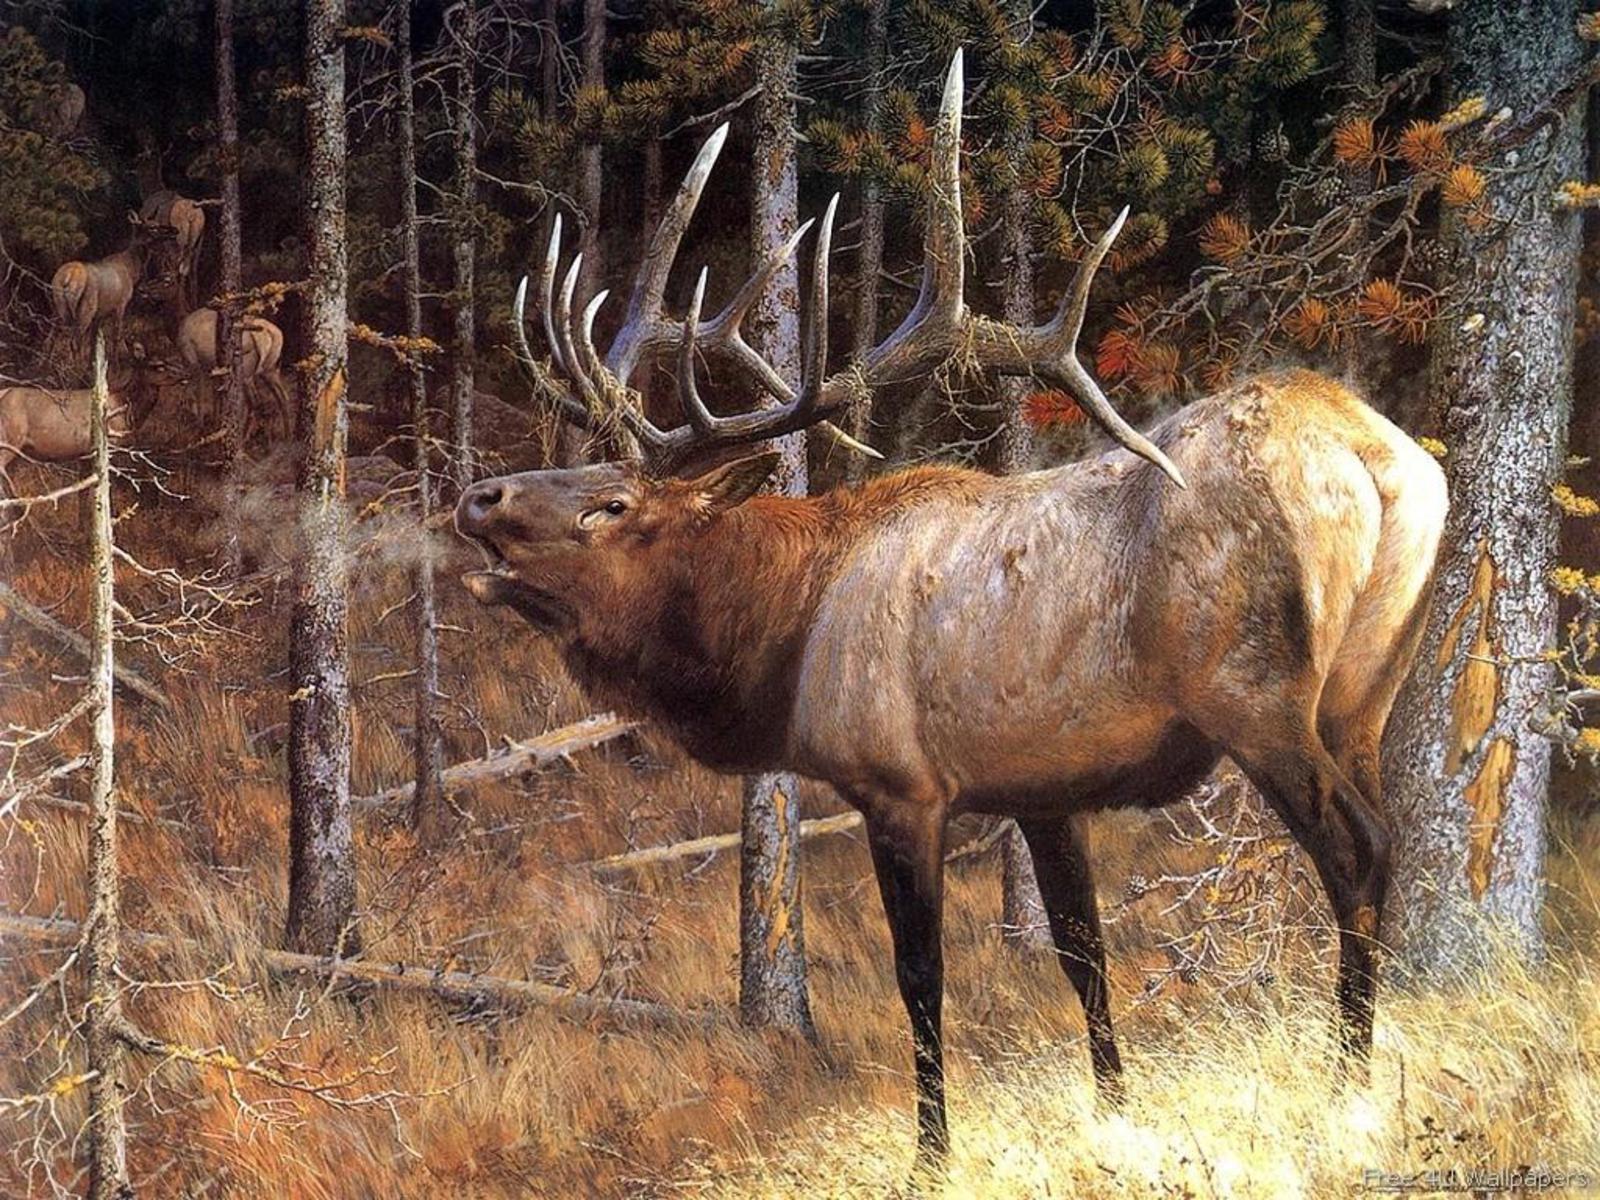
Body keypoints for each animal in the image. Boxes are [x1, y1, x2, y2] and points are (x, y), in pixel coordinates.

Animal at [50, 213, 171, 358]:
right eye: (152, 227)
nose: (173, 231)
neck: (132, 270)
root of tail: (68, 277)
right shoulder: (121, 303)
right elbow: (116, 335)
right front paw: (116, 359)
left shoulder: (100, 314)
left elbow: (95, 341)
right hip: (86, 309)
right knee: (75, 341)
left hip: (61, 309)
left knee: (58, 337)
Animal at [176, 306, 294, 444]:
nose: (182, 420)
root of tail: (274, 334)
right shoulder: (213, 369)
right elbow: (216, 394)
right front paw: (216, 424)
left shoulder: (195, 362)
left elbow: (199, 394)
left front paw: (201, 427)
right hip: (270, 370)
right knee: (282, 397)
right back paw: (287, 436)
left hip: (247, 372)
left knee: (255, 402)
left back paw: (243, 437)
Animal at [452, 53, 1448, 1174]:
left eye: (613, 505)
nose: (478, 497)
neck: (784, 640)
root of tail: (1373, 454)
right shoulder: (1045, 787)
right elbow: (1081, 952)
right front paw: (1113, 1112)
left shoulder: (899, 782)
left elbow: (920, 979)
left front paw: (931, 1150)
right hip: (1365, 691)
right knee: (1387, 833)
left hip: (1255, 693)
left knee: (1353, 847)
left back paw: (1347, 1081)